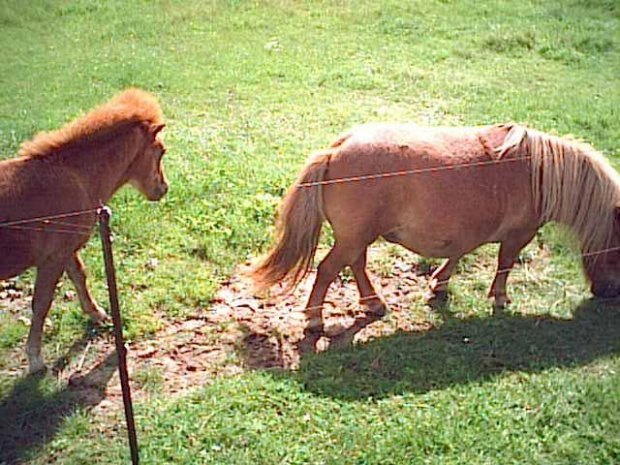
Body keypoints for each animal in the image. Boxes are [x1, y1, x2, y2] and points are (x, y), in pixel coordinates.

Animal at [0, 88, 170, 374]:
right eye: (160, 151)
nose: (163, 189)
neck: (76, 177)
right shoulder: (53, 258)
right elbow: (41, 303)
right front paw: (35, 359)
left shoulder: (65, 251)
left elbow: (80, 276)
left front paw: (98, 315)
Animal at [249, 121, 620, 350]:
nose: (606, 293)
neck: (536, 172)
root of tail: (335, 150)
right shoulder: (519, 234)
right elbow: (504, 264)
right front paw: (500, 298)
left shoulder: (470, 229)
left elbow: (459, 252)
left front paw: (439, 284)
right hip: (354, 238)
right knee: (328, 270)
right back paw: (315, 319)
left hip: (357, 237)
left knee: (355, 266)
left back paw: (374, 303)